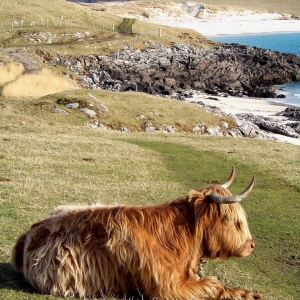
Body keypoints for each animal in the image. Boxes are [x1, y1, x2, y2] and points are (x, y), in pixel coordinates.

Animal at [11, 168, 262, 298]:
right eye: (232, 220)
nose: (251, 245)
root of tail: (27, 235)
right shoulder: (168, 287)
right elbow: (213, 284)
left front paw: (248, 293)